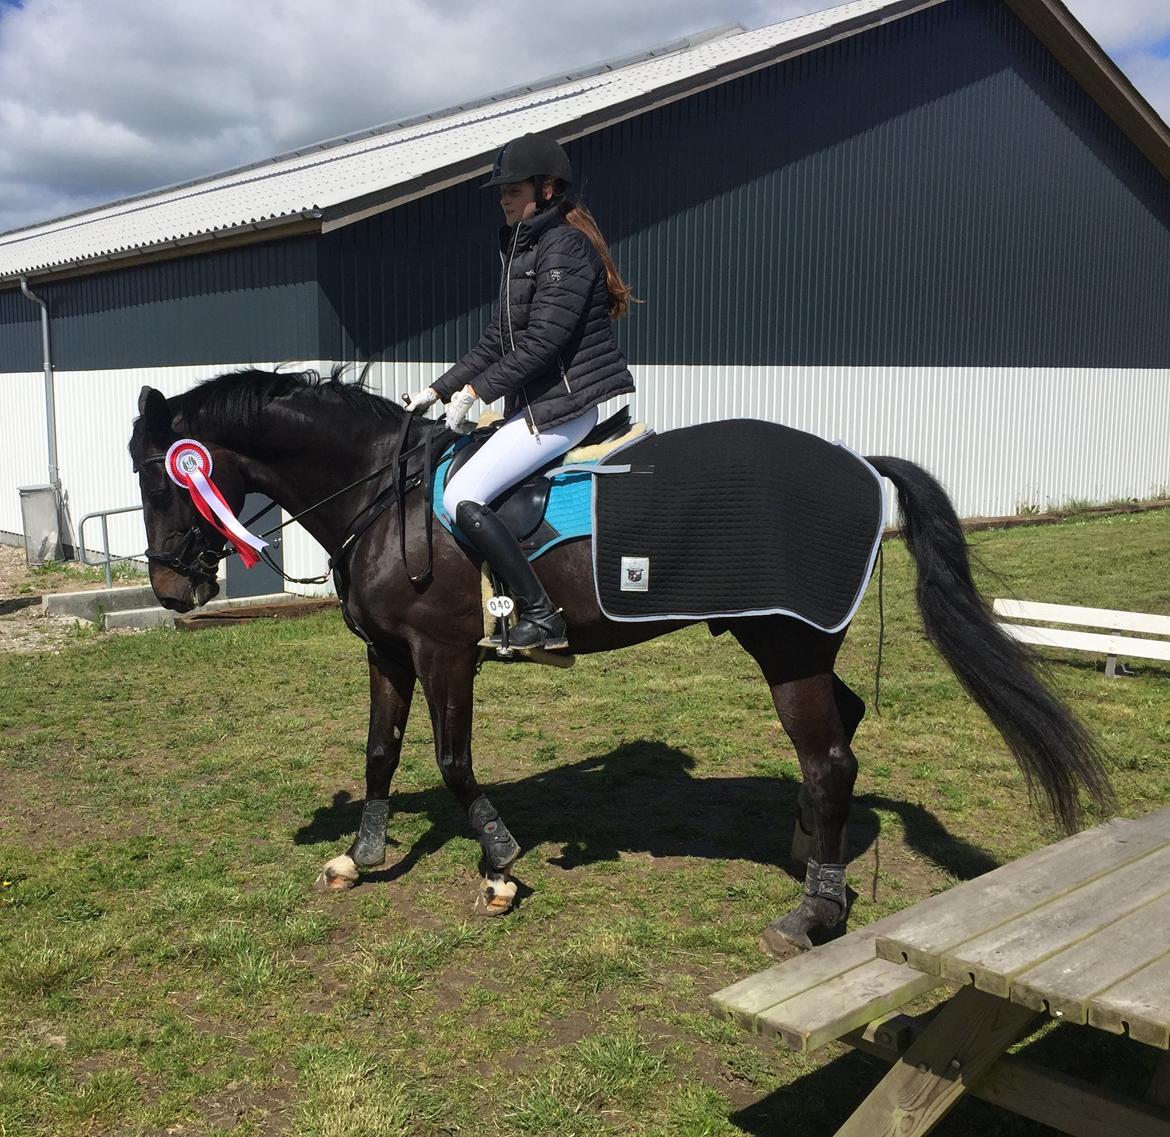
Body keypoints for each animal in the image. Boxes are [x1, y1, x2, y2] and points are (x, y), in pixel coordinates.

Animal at [132, 369, 1109, 954]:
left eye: (159, 474)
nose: (173, 590)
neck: (385, 492)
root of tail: (862, 466)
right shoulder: (387, 655)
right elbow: (379, 753)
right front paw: (361, 856)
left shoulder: (446, 655)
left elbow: (452, 761)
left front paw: (498, 866)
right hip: (795, 644)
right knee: (845, 736)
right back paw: (807, 850)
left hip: (784, 645)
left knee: (831, 756)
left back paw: (812, 911)